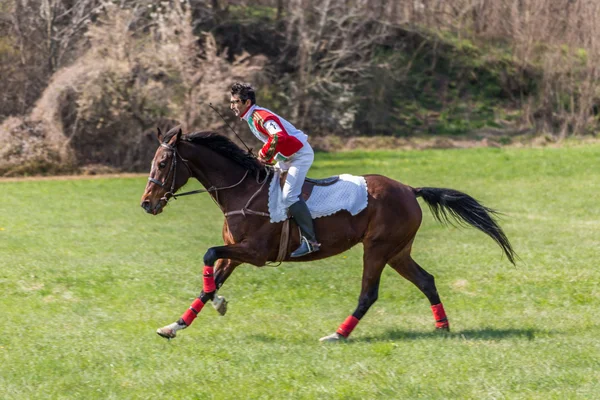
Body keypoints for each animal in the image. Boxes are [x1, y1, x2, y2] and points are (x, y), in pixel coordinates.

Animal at [141, 126, 516, 342]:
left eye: (163, 163)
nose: (147, 204)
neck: (241, 190)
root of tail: (410, 189)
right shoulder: (235, 253)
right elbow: (209, 282)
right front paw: (175, 325)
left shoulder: (255, 253)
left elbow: (208, 255)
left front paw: (217, 304)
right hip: (398, 252)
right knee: (426, 280)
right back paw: (442, 328)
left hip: (377, 250)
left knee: (368, 294)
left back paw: (338, 334)